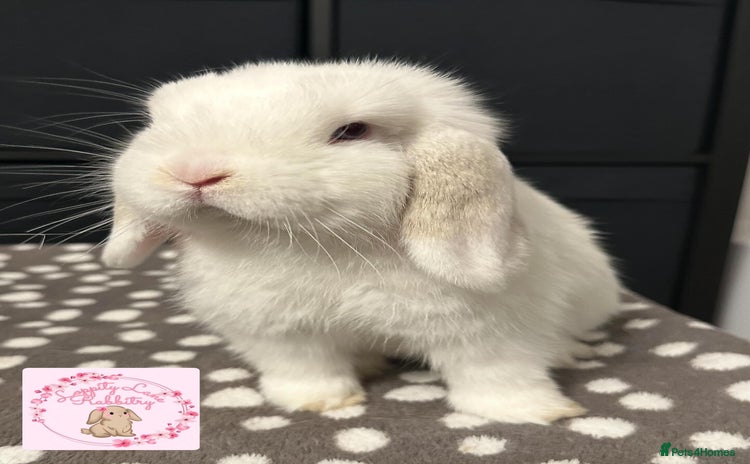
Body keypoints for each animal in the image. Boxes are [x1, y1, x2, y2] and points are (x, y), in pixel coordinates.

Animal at [101, 60, 620, 424]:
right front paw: (318, 403)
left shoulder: (492, 335)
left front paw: (533, 414)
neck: (321, 250)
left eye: (351, 132)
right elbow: (306, 371)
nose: (195, 171)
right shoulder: (282, 336)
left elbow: (496, 376)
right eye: (158, 123)